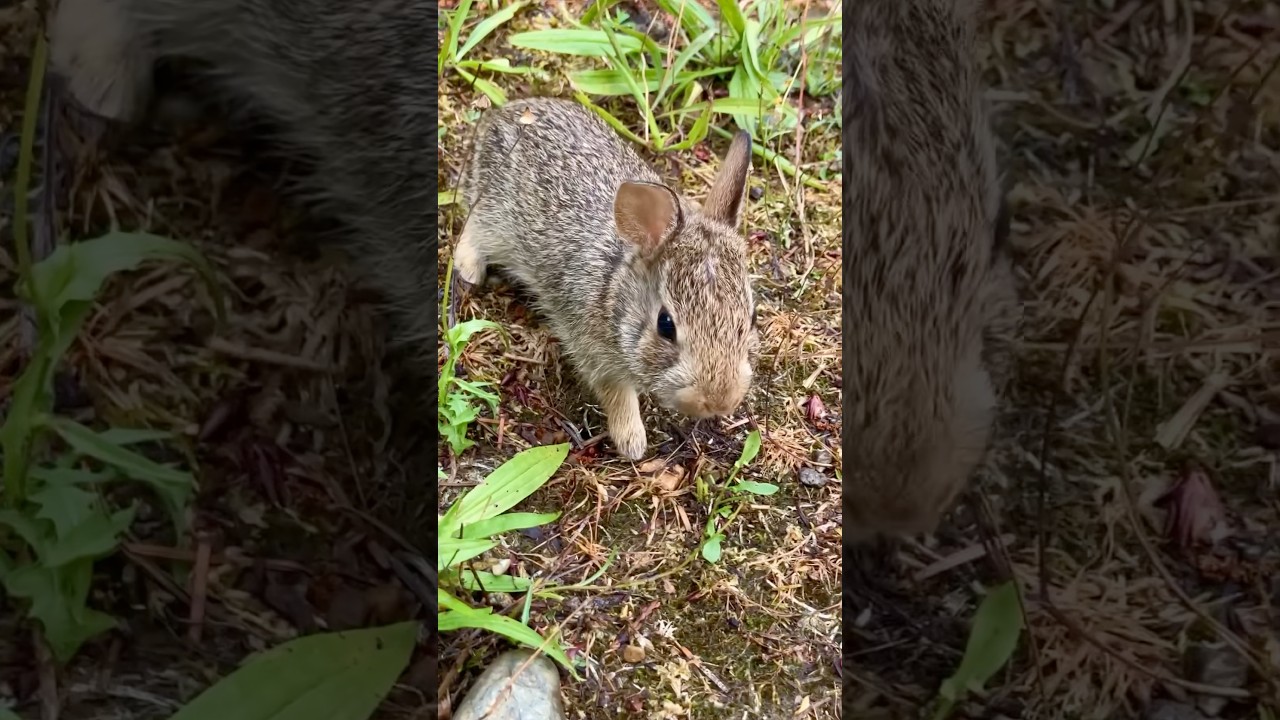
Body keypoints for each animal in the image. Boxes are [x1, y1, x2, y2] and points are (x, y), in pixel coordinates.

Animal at [456, 97, 758, 461]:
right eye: (666, 325)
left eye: (752, 318)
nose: (718, 400)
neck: (613, 286)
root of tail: (504, 114)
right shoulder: (593, 349)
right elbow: (616, 392)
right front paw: (632, 441)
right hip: (494, 216)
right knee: (472, 227)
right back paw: (468, 269)